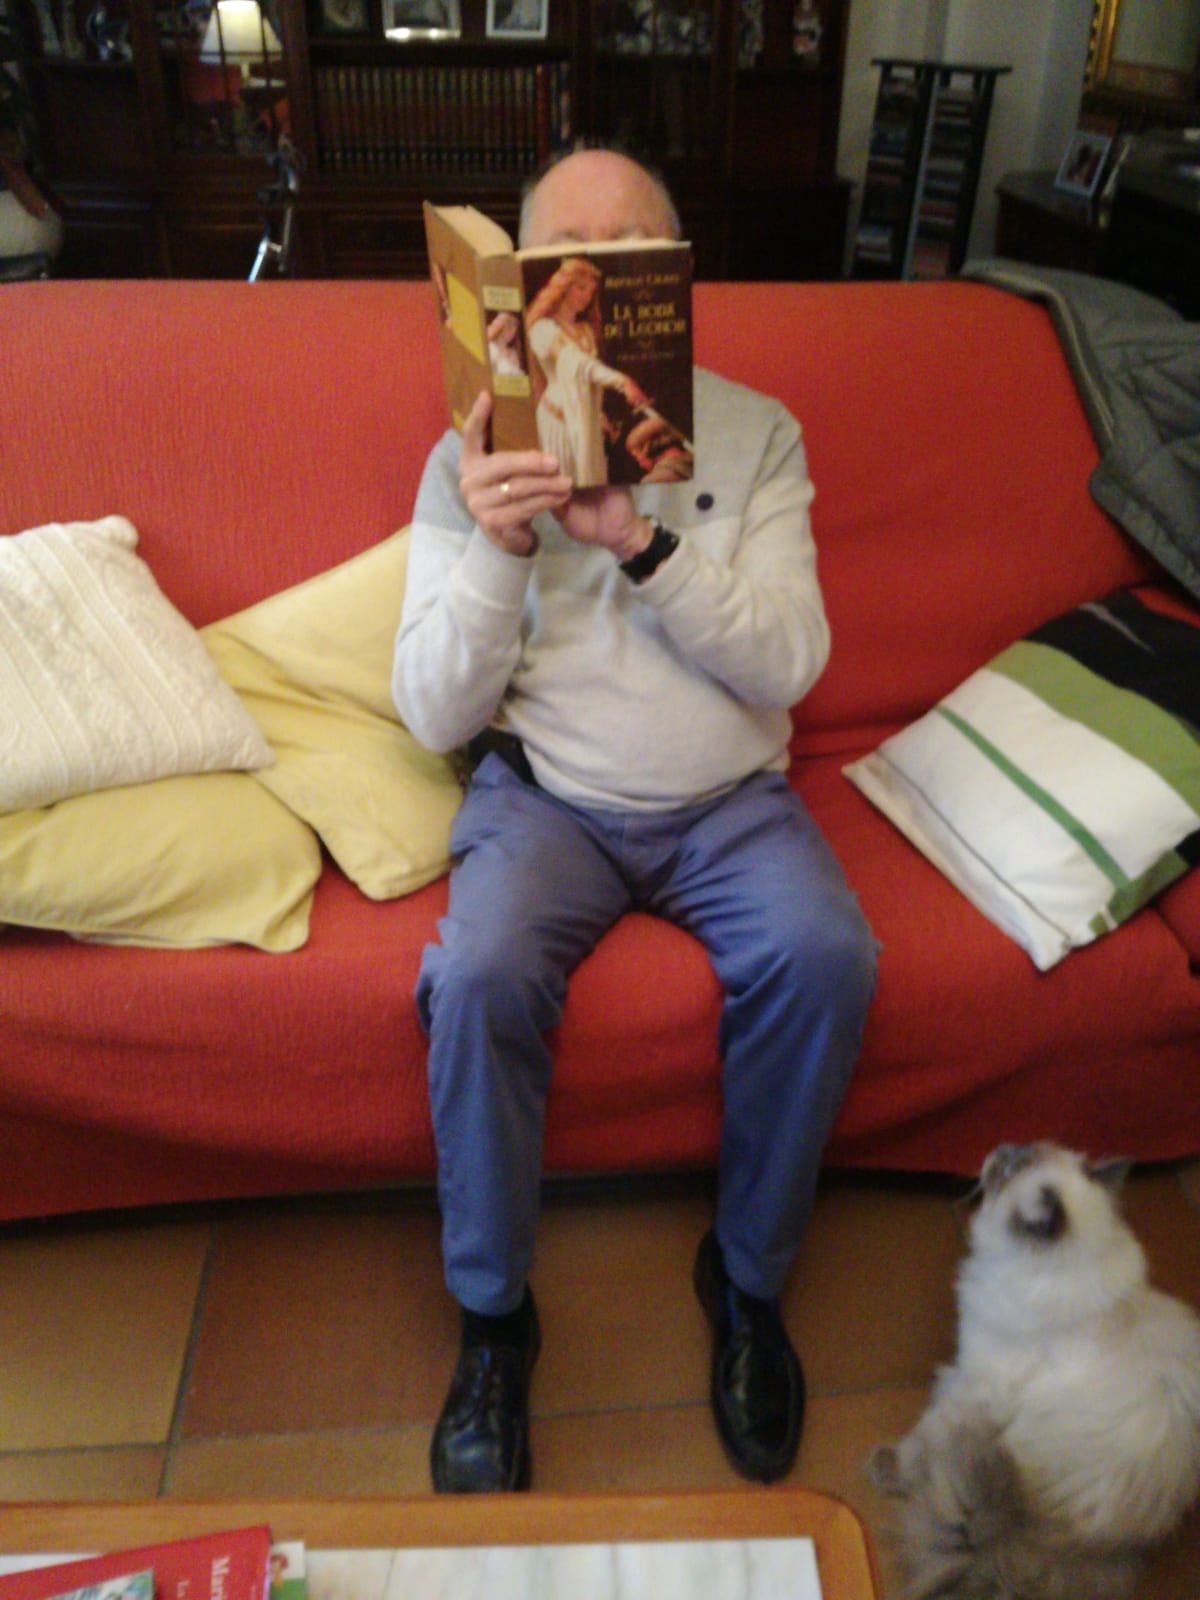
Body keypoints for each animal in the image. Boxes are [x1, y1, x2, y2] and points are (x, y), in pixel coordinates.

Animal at [868, 1141, 1200, 1600]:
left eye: (1009, 1169)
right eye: (1019, 1151)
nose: (999, 1150)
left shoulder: (972, 1385)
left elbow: (923, 1435)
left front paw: (890, 1465)